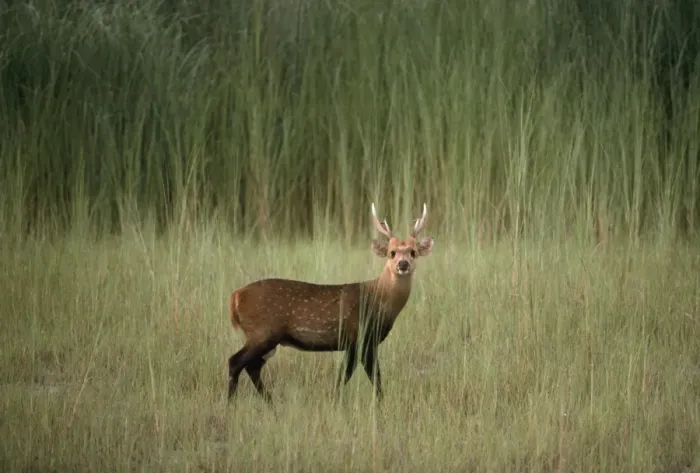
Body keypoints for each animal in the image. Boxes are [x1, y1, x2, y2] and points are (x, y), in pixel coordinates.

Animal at [227, 202, 434, 403]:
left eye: (413, 252)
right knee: (235, 362)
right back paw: (232, 403)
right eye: (392, 253)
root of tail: (235, 296)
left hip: (265, 338)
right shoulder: (359, 337)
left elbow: (351, 376)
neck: (378, 299)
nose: (403, 264)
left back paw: (270, 403)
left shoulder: (360, 343)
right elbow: (364, 377)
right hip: (262, 332)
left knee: (252, 367)